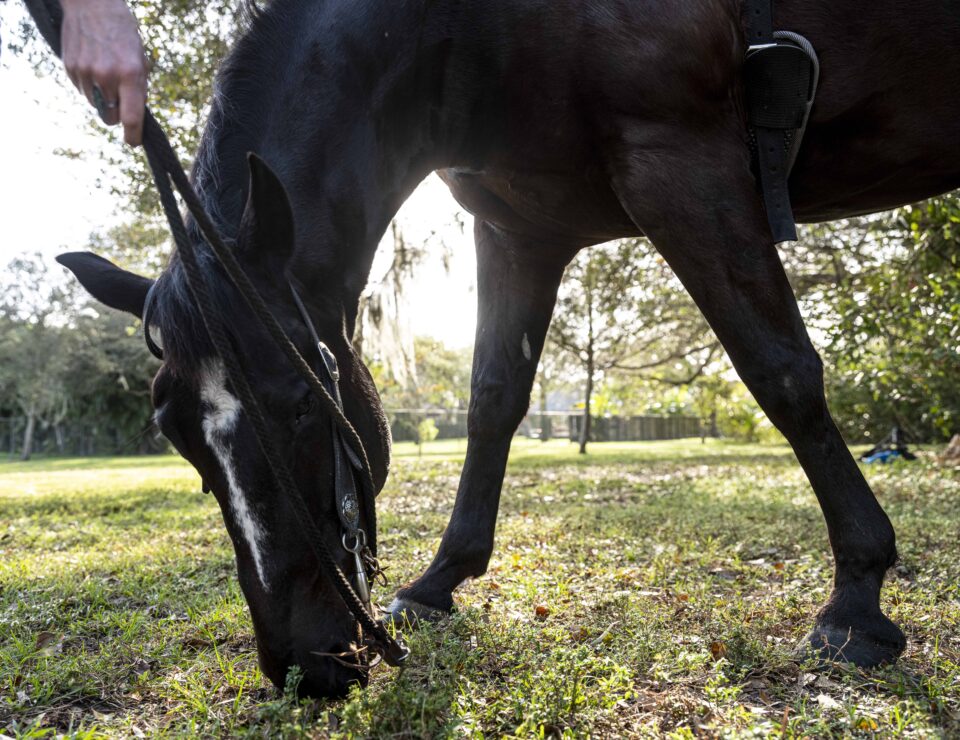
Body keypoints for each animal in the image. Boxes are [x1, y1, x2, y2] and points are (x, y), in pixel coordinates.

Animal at [58, 0, 960, 700]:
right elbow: (493, 399)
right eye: (176, 437)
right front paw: (440, 581)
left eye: (303, 402)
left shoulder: (684, 163)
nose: (303, 666)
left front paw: (857, 600)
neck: (466, 27)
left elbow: (781, 371)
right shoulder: (520, 227)